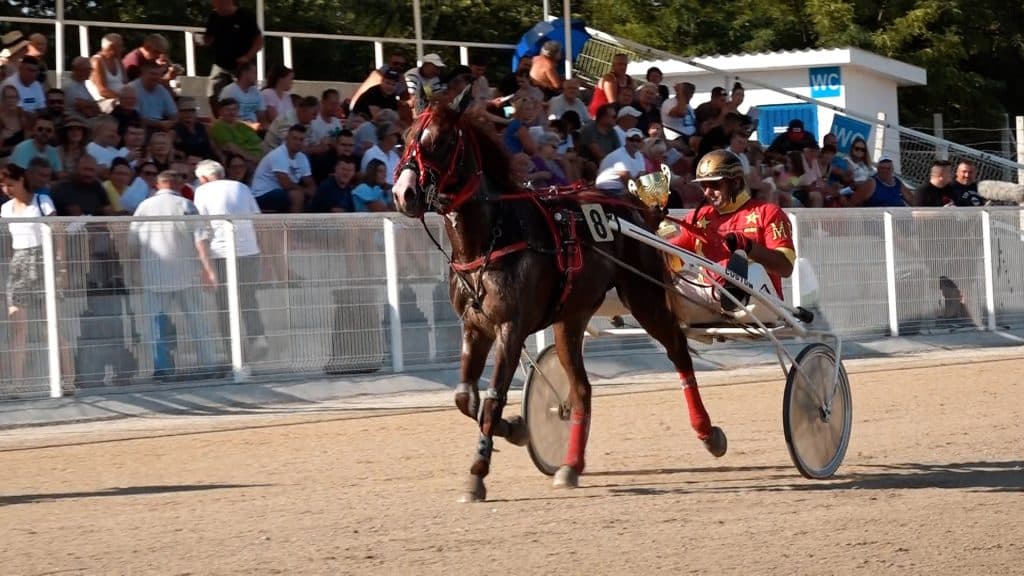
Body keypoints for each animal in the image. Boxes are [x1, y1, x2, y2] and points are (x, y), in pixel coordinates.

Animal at [389, 87, 729, 500]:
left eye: (439, 141)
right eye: (407, 138)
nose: (403, 193)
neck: (492, 236)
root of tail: (633, 204)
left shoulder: (510, 328)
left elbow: (492, 399)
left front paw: (478, 472)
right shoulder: (473, 326)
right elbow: (465, 398)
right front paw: (517, 428)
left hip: (644, 296)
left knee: (678, 352)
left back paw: (708, 433)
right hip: (571, 319)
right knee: (581, 389)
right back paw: (570, 465)